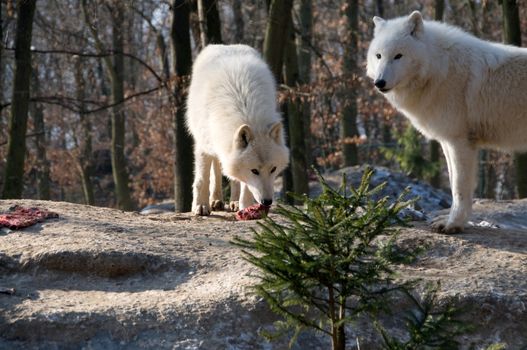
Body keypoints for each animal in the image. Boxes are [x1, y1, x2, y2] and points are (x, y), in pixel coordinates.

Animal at [188, 44, 290, 216]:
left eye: (273, 169)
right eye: (254, 170)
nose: (267, 201)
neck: (247, 111)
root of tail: (226, 46)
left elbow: (245, 185)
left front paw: (245, 205)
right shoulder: (203, 144)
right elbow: (202, 179)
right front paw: (200, 205)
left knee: (233, 177)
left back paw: (234, 202)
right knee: (216, 169)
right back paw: (215, 200)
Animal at [370, 11, 527, 232]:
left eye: (398, 56)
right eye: (378, 56)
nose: (379, 83)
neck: (440, 68)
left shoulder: (459, 142)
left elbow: (460, 188)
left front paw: (454, 224)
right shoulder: (446, 142)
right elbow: (453, 184)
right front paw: (452, 220)